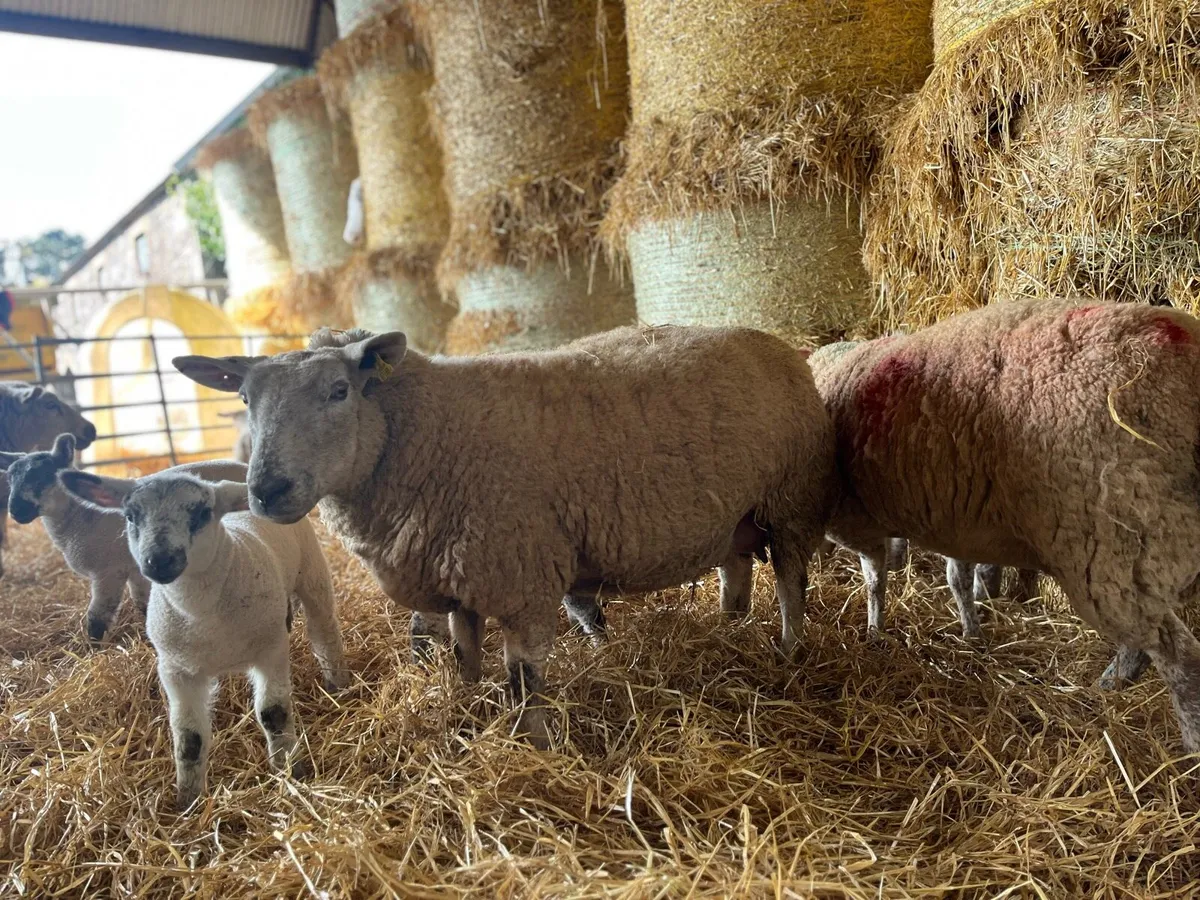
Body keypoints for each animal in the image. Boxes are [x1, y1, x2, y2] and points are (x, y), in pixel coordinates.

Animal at [0, 435, 248, 641]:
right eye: (10, 479)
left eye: (43, 476)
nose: (15, 511)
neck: (82, 518)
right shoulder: (133, 569)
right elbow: (141, 603)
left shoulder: (108, 572)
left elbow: (97, 617)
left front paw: (94, 650)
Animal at [59, 467, 349, 811]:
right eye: (130, 516)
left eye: (201, 513)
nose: (159, 560)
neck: (201, 614)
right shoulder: (176, 671)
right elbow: (189, 739)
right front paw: (187, 801)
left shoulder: (271, 651)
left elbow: (273, 713)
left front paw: (290, 771)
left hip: (312, 573)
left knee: (323, 631)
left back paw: (338, 683)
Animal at [172, 324, 838, 749]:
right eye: (244, 398)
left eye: (338, 392)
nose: (266, 491)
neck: (425, 434)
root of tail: (779, 343)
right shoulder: (457, 576)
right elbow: (465, 658)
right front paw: (468, 715)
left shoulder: (518, 575)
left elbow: (524, 680)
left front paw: (536, 747)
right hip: (735, 515)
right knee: (737, 572)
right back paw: (732, 628)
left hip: (792, 499)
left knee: (791, 582)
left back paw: (788, 651)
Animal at [811, 298, 1200, 750]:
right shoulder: (954, 518)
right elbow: (953, 575)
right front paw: (972, 627)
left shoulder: (860, 521)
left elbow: (877, 579)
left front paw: (876, 630)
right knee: (1148, 642)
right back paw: (1113, 683)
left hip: (1115, 545)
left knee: (1177, 656)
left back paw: (1181, 734)